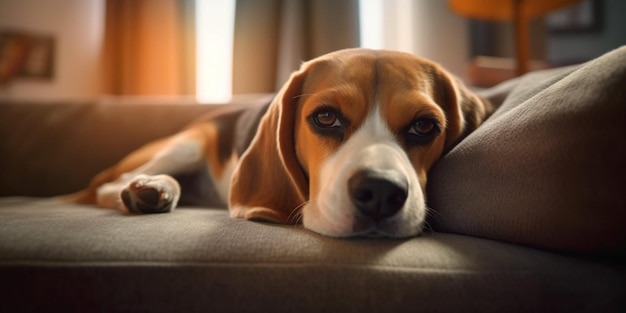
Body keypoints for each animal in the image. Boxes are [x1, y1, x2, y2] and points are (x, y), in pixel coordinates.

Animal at [67, 49, 492, 236]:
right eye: (325, 117)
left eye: (424, 126)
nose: (381, 192)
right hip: (187, 144)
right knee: (112, 185)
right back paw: (151, 189)